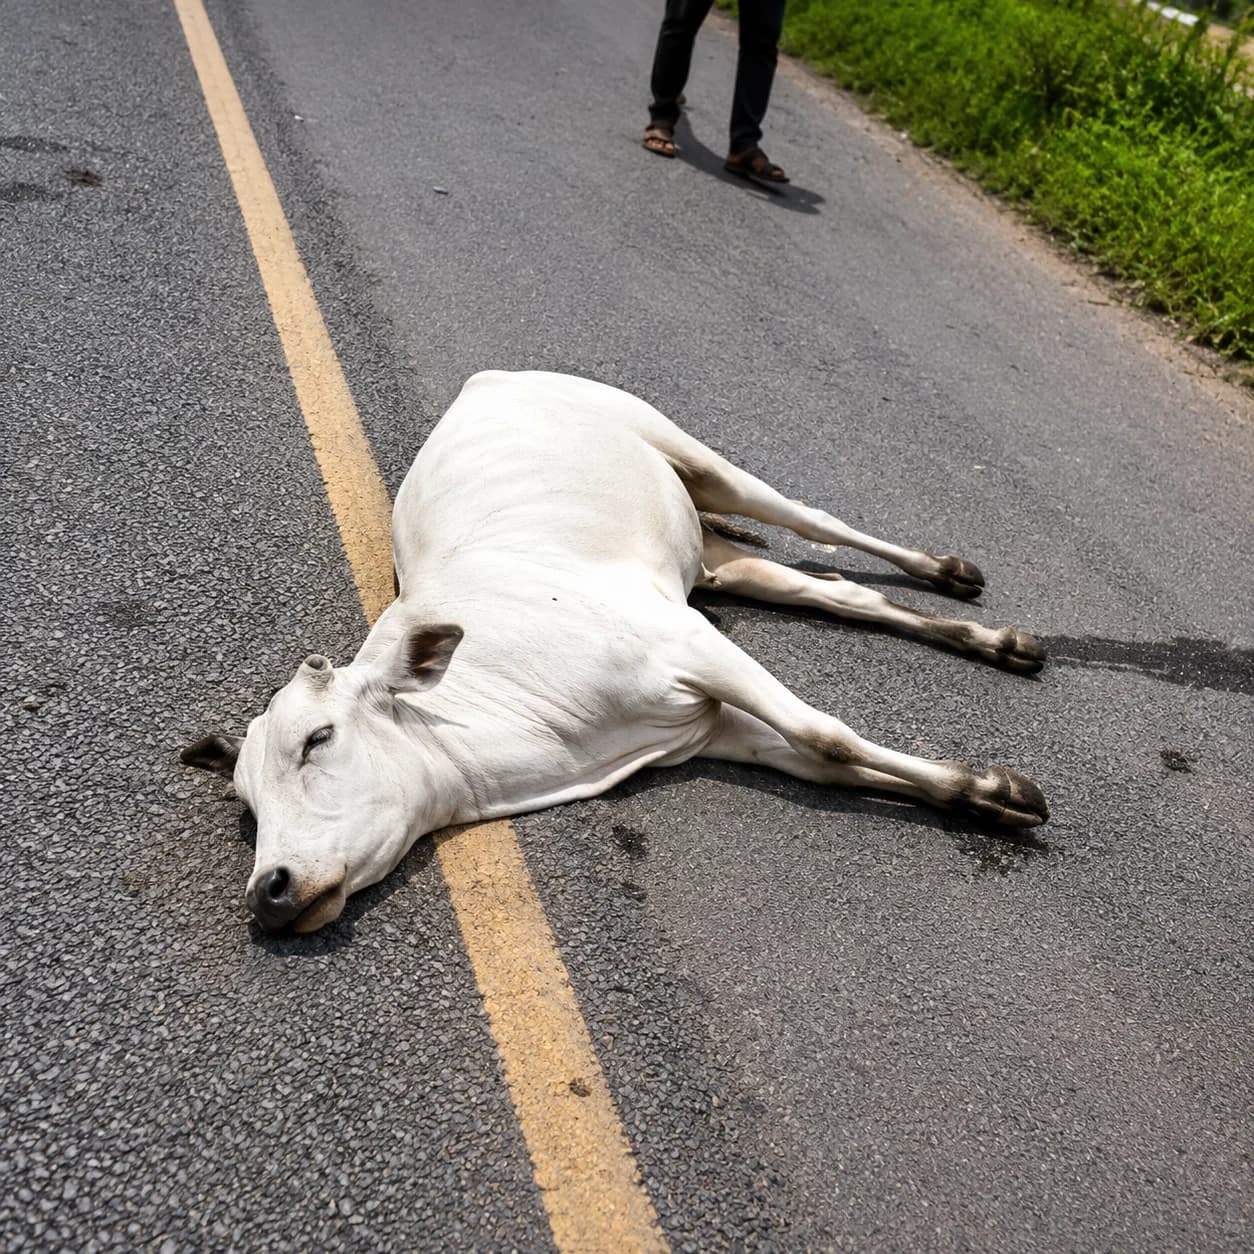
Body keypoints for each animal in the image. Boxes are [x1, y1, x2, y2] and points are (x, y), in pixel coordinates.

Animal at [182, 370, 1048, 933]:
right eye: (246, 806)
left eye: (317, 739)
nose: (268, 892)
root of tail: (485, 380)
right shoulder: (711, 725)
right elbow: (829, 759)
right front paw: (984, 791)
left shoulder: (687, 642)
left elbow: (825, 734)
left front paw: (999, 792)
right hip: (710, 560)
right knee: (827, 589)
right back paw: (998, 642)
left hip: (700, 460)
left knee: (818, 522)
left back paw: (951, 573)